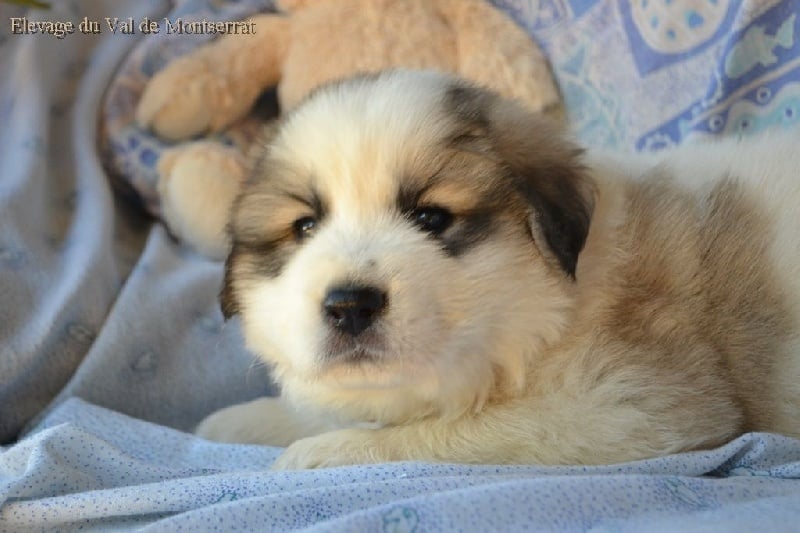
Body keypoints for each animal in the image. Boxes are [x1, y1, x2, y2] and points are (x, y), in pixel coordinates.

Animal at [195, 69, 800, 470]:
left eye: (431, 217)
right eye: (304, 227)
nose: (349, 305)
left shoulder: (629, 405)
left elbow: (445, 431)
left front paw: (319, 455)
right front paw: (235, 422)